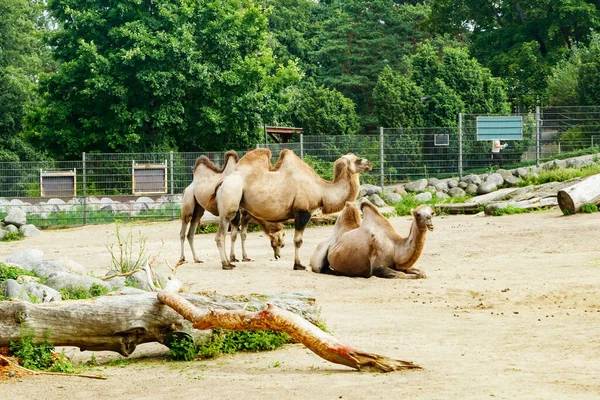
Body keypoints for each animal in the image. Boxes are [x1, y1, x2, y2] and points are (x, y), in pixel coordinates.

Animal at [211, 148, 370, 270]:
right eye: (358, 160)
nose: (370, 164)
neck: (322, 190)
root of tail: (222, 182)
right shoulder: (303, 212)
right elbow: (298, 241)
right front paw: (298, 265)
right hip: (230, 201)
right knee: (220, 235)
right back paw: (226, 264)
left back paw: (230, 261)